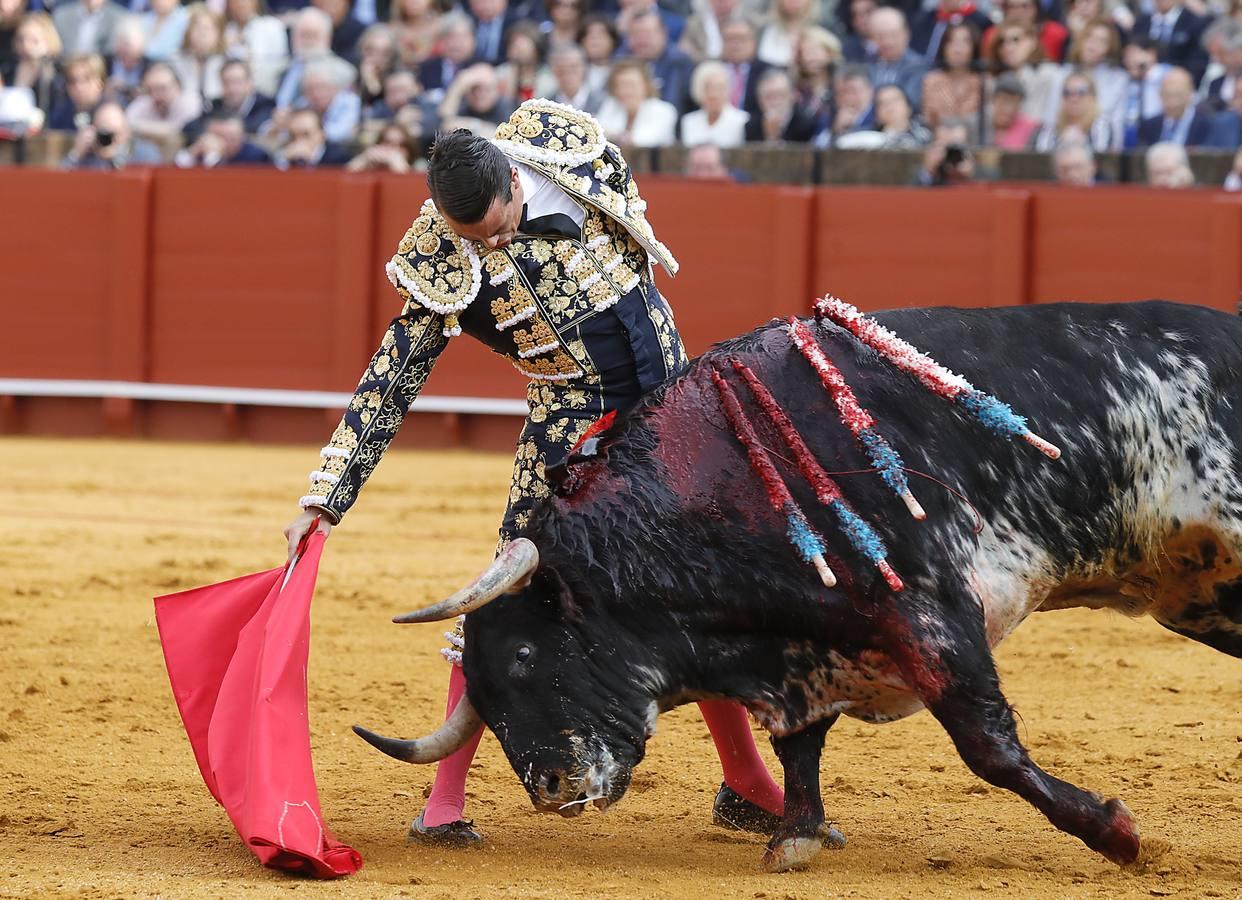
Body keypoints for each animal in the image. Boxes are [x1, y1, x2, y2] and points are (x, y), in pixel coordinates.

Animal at [355, 301, 1242, 868]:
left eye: (528, 656)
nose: (550, 789)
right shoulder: (808, 652)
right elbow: (799, 745)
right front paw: (796, 835)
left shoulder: (933, 615)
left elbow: (989, 747)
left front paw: (1117, 834)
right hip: (1204, 598)